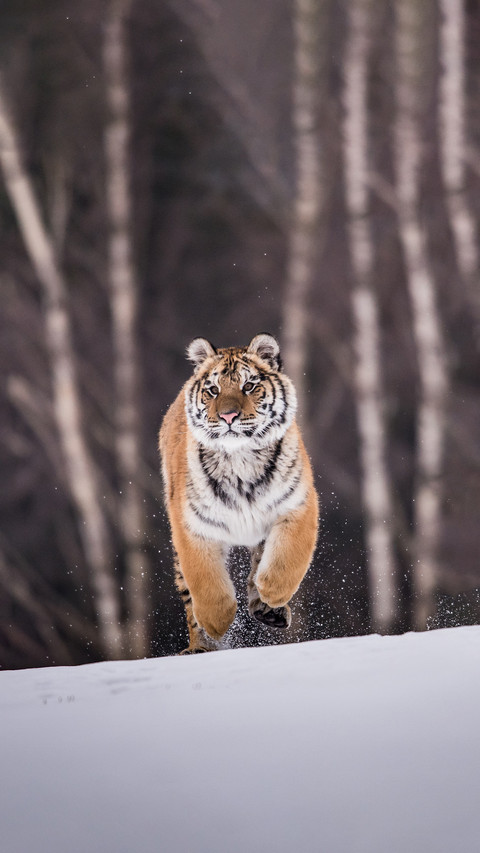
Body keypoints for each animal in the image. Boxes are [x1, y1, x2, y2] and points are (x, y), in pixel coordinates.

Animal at [158, 333, 319, 653]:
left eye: (249, 386)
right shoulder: (193, 527)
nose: (228, 416)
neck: (240, 458)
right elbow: (206, 583)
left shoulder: (297, 505)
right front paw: (216, 622)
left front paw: (272, 592)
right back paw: (199, 646)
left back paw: (269, 610)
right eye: (213, 390)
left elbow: (286, 559)